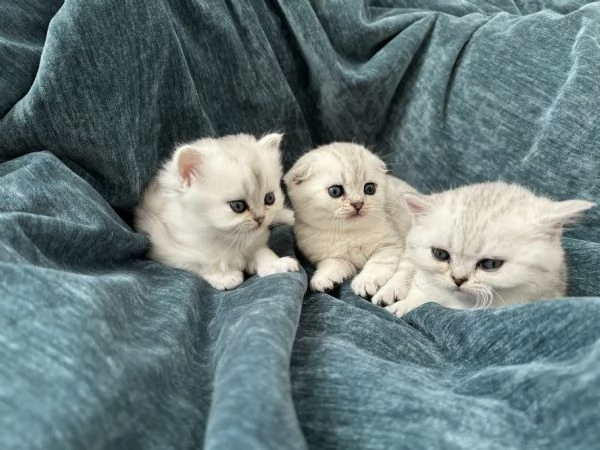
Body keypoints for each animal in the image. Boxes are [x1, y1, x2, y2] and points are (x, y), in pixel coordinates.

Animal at [134, 132, 298, 290]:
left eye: (269, 198)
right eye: (238, 206)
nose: (260, 219)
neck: (227, 239)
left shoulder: (255, 243)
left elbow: (263, 252)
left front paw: (276, 264)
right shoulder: (168, 250)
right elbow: (205, 263)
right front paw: (225, 277)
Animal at [284, 142, 414, 300]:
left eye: (369, 188)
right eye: (335, 191)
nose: (358, 203)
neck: (348, 233)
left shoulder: (390, 246)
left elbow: (376, 264)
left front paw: (366, 281)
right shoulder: (335, 257)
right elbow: (331, 265)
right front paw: (323, 279)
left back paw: (388, 294)